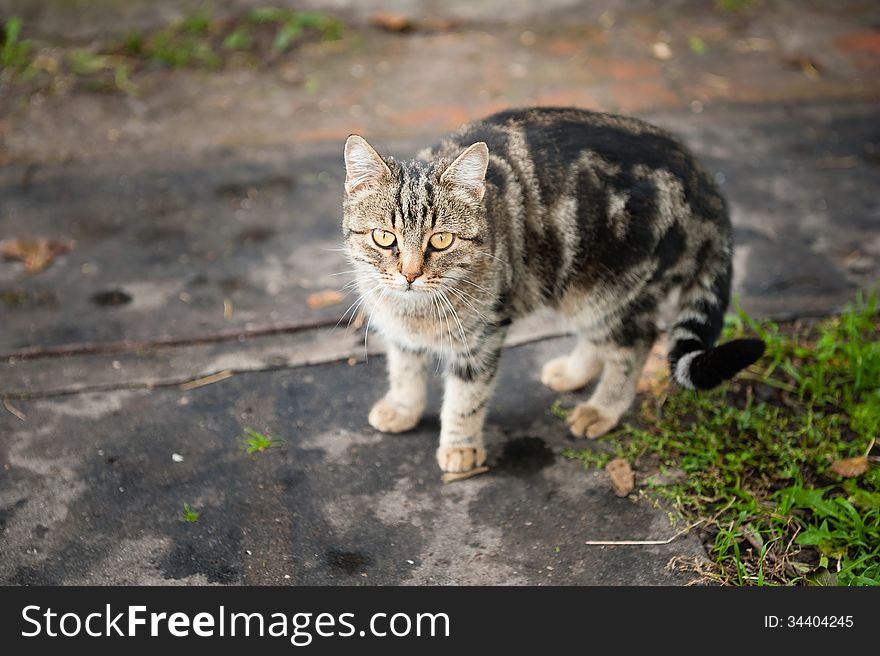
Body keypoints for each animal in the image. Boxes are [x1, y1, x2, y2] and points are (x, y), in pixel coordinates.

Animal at [340, 110, 768, 474]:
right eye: (384, 237)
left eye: (441, 240)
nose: (410, 274)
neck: (413, 310)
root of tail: (705, 182)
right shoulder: (400, 334)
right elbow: (404, 371)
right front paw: (402, 408)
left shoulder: (482, 338)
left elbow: (465, 399)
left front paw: (460, 446)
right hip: (582, 290)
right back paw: (572, 373)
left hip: (604, 290)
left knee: (636, 342)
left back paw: (602, 409)